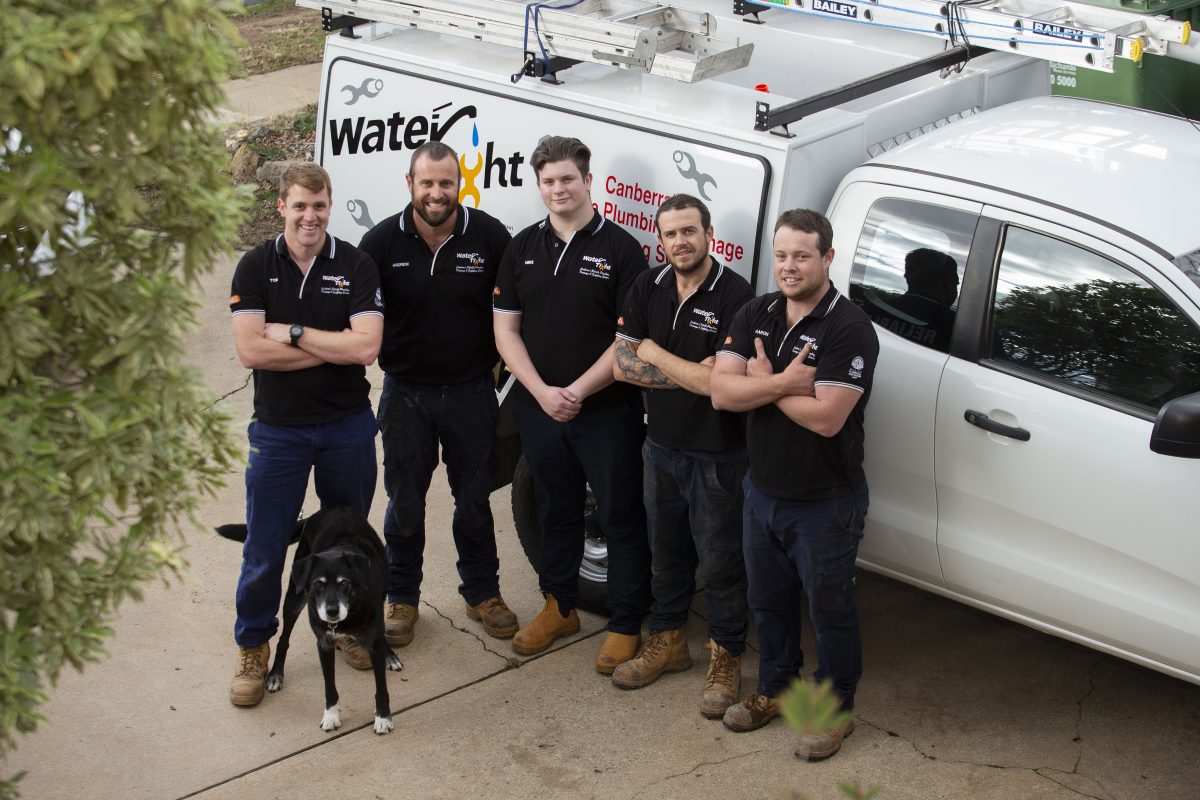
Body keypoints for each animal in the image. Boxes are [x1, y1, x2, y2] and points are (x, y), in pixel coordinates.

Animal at [216, 510, 403, 734]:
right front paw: (331, 716)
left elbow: (381, 687)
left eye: (344, 583)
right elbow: (329, 687)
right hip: (294, 597)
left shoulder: (373, 641)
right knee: (283, 639)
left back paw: (389, 655)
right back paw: (276, 675)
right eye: (317, 584)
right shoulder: (324, 644)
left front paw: (383, 718)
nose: (332, 612)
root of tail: (328, 510)